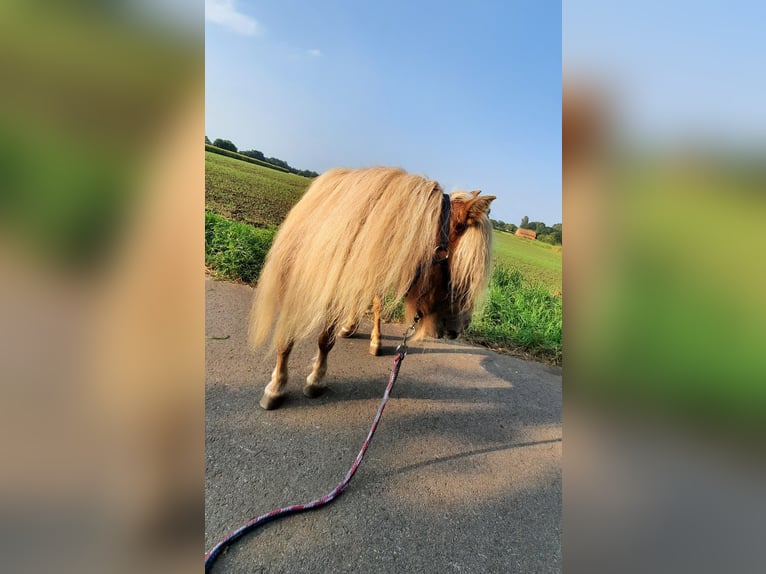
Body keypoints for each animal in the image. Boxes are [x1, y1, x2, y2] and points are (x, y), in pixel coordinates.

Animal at [249, 165, 496, 410]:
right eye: (465, 276)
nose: (462, 326)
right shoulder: (293, 287)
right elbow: (285, 339)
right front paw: (276, 387)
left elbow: (326, 340)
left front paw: (316, 380)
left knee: (374, 303)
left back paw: (372, 339)